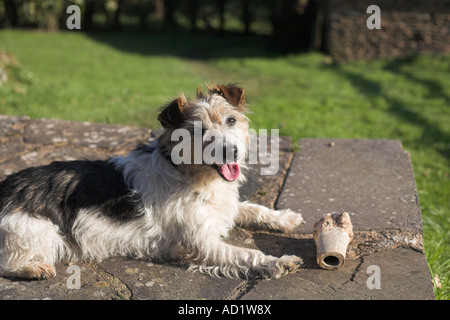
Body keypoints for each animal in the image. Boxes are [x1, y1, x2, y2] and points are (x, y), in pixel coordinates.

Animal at [0, 84, 306, 280]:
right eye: (199, 131)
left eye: (231, 120)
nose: (231, 151)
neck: (189, 173)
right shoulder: (202, 244)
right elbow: (246, 254)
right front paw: (278, 262)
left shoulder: (224, 207)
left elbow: (252, 208)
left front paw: (285, 218)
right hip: (36, 232)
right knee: (6, 263)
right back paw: (33, 269)